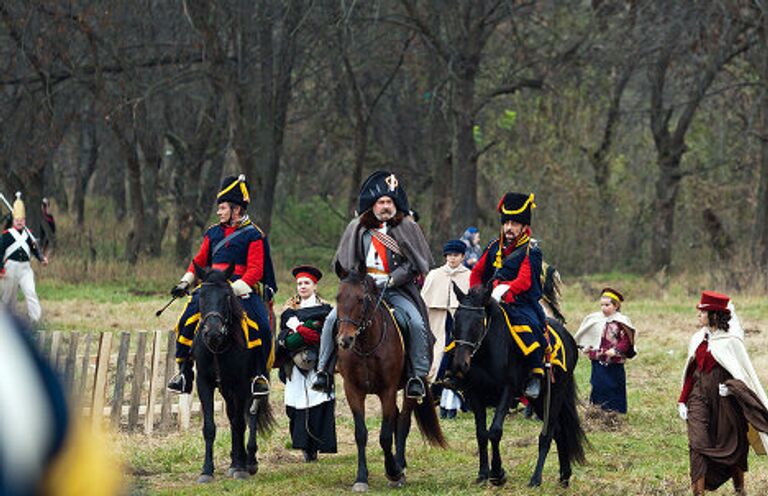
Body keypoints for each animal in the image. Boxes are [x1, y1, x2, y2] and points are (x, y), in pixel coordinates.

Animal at [192, 264, 276, 484]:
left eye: (227, 296)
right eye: (201, 296)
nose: (213, 333)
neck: (219, 348)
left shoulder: (241, 384)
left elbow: (241, 422)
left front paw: (241, 467)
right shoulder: (204, 383)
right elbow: (210, 427)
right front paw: (207, 470)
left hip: (255, 383)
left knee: (250, 415)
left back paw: (248, 461)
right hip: (226, 390)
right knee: (233, 417)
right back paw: (235, 460)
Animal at [332, 264, 448, 492]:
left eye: (361, 299)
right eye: (338, 297)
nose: (345, 340)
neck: (366, 346)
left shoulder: (387, 390)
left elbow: (386, 435)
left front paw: (393, 471)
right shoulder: (353, 390)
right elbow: (361, 433)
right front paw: (361, 478)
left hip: (409, 390)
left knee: (402, 423)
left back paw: (400, 466)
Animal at [448, 282, 584, 488]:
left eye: (479, 321)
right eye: (456, 319)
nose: (459, 365)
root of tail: (568, 337)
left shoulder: (507, 390)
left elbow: (495, 432)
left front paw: (498, 473)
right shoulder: (475, 394)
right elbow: (481, 434)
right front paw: (483, 474)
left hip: (556, 394)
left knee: (548, 434)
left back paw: (536, 479)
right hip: (538, 400)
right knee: (559, 432)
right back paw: (564, 476)